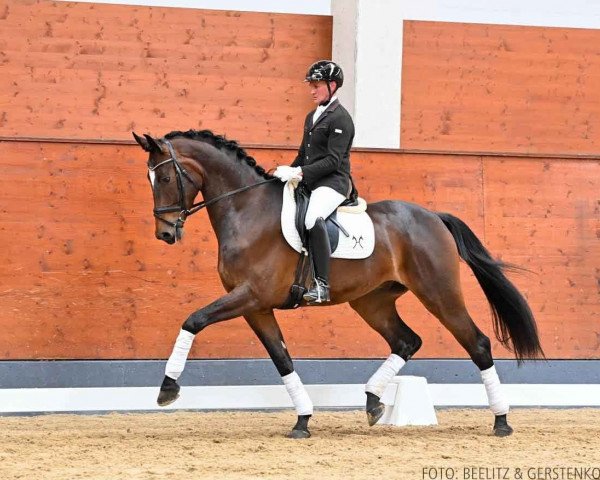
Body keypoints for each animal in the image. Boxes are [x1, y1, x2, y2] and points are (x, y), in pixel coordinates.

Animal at [134, 129, 548, 436]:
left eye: (166, 177)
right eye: (150, 178)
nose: (165, 233)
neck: (247, 210)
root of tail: (433, 216)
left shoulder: (249, 296)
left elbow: (193, 320)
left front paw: (167, 389)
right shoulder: (257, 306)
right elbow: (282, 358)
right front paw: (302, 420)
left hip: (439, 294)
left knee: (477, 343)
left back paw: (501, 421)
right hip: (372, 301)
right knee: (407, 340)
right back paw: (373, 402)